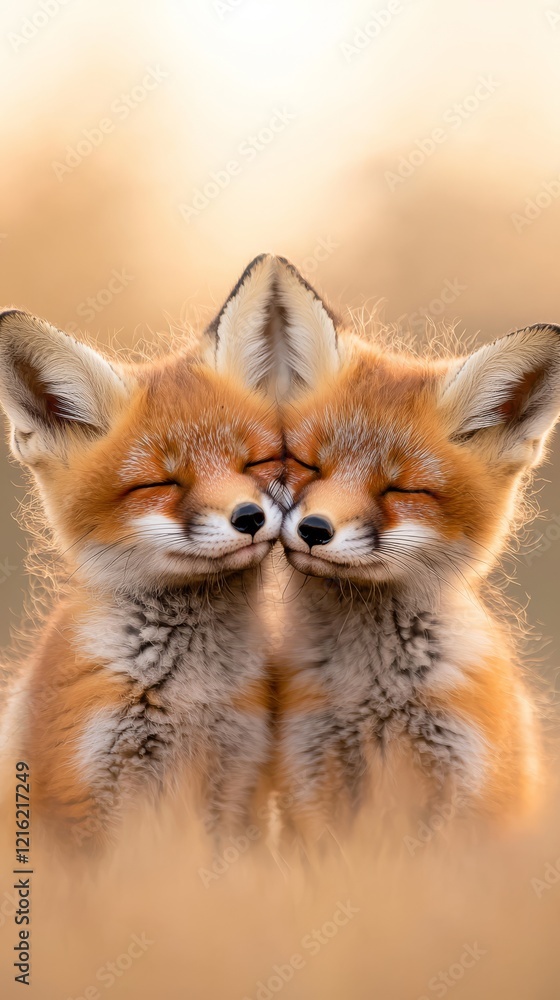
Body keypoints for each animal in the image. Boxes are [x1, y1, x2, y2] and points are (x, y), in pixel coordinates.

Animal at [0, 254, 328, 851]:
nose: (249, 519)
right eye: (162, 483)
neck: (189, 694)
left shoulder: (236, 785)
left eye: (256, 462)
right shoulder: (78, 803)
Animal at [270, 271, 560, 846]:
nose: (314, 530)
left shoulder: (466, 783)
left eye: (401, 489)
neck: (374, 691)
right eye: (307, 464)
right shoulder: (307, 767)